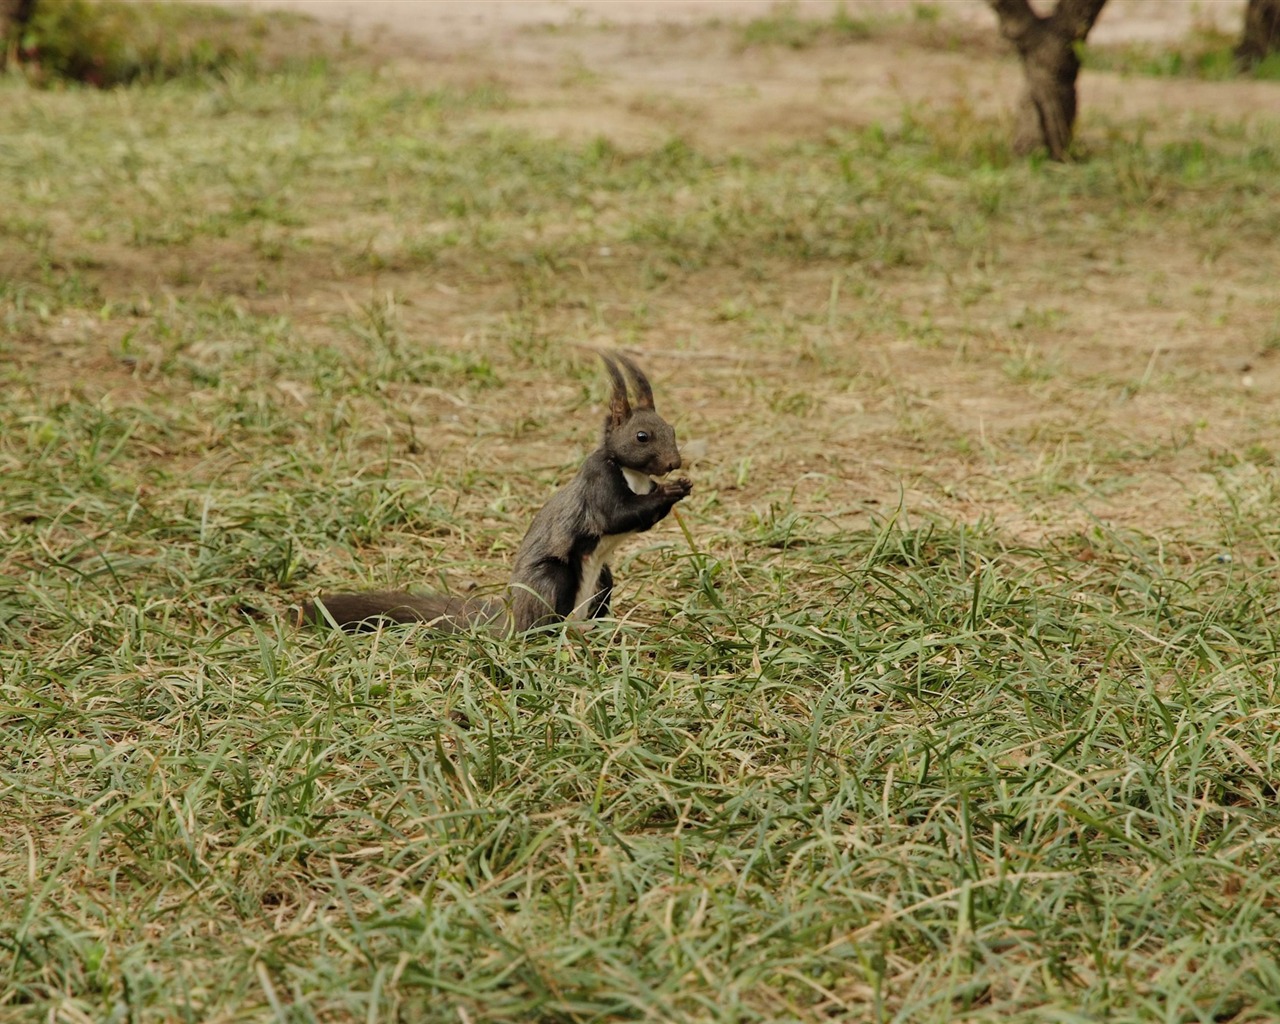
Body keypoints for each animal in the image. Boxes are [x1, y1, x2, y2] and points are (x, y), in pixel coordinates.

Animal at [300, 355, 696, 634]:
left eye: (672, 429)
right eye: (642, 436)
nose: (674, 463)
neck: (634, 475)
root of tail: (509, 619)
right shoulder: (598, 484)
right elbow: (617, 516)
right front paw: (673, 490)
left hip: (602, 581)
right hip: (551, 580)